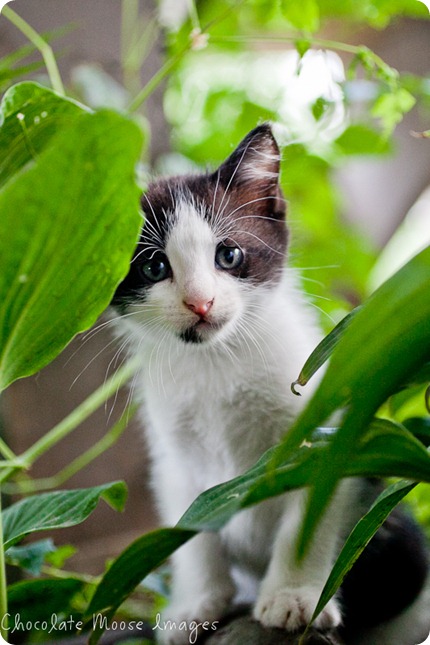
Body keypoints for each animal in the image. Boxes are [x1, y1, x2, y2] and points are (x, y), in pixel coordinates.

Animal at [111, 123, 430, 640]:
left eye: (229, 254)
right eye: (154, 267)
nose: (200, 302)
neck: (218, 363)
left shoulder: (326, 431)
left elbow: (309, 519)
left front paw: (292, 596)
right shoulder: (173, 454)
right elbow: (187, 526)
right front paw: (195, 603)